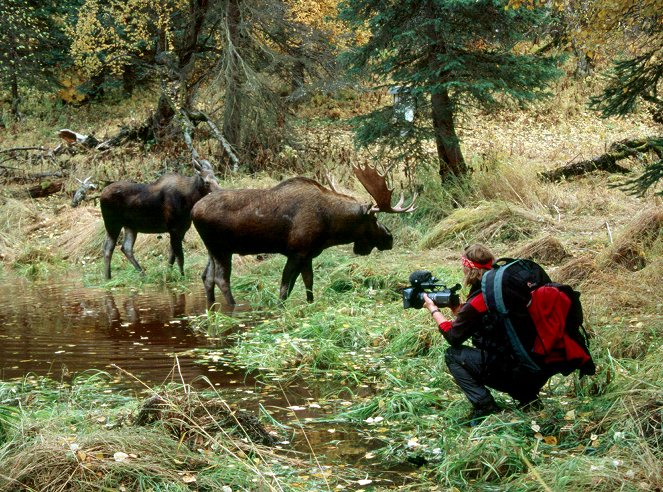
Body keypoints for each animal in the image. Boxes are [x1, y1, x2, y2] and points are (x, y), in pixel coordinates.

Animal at [192, 165, 418, 304]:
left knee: (207, 277)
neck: (330, 227)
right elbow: (284, 289)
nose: (389, 238)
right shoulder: (296, 251)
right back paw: (234, 307)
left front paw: (310, 304)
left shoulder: (308, 254)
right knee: (221, 279)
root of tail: (193, 211)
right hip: (222, 248)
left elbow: (308, 284)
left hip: (212, 250)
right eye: (374, 219)